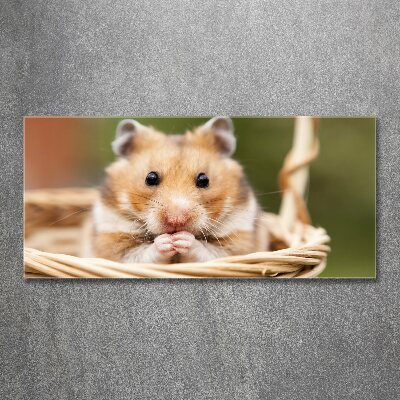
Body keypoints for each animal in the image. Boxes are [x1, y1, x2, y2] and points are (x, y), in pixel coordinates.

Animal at [89, 117, 268, 264]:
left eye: (204, 180)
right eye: (150, 178)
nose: (177, 220)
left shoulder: (238, 243)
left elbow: (209, 253)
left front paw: (182, 239)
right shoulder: (113, 243)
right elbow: (141, 255)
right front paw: (166, 242)